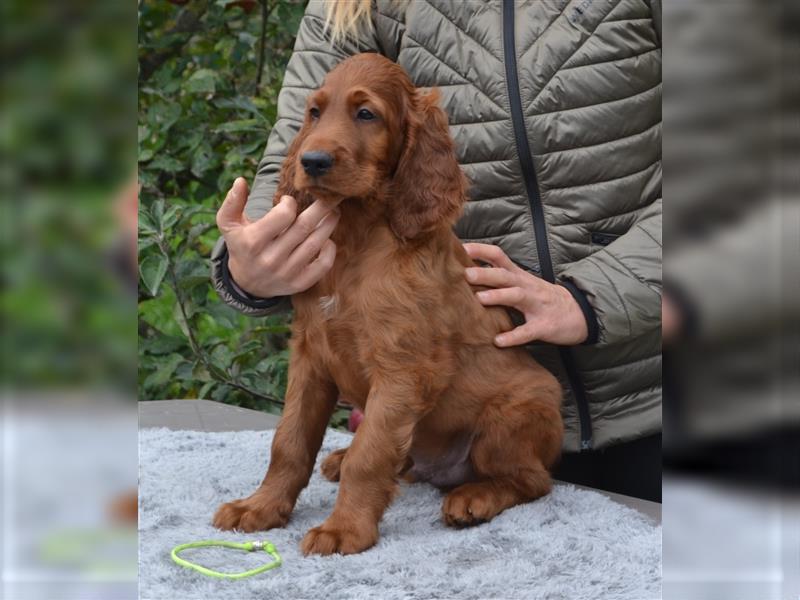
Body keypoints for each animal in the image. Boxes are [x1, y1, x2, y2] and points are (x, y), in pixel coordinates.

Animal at [212, 54, 564, 556]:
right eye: (315, 112)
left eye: (366, 114)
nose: (312, 161)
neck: (356, 237)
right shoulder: (310, 357)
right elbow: (289, 441)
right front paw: (259, 507)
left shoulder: (403, 368)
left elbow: (371, 453)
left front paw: (344, 529)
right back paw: (342, 459)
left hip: (517, 411)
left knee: (533, 480)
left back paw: (474, 497)